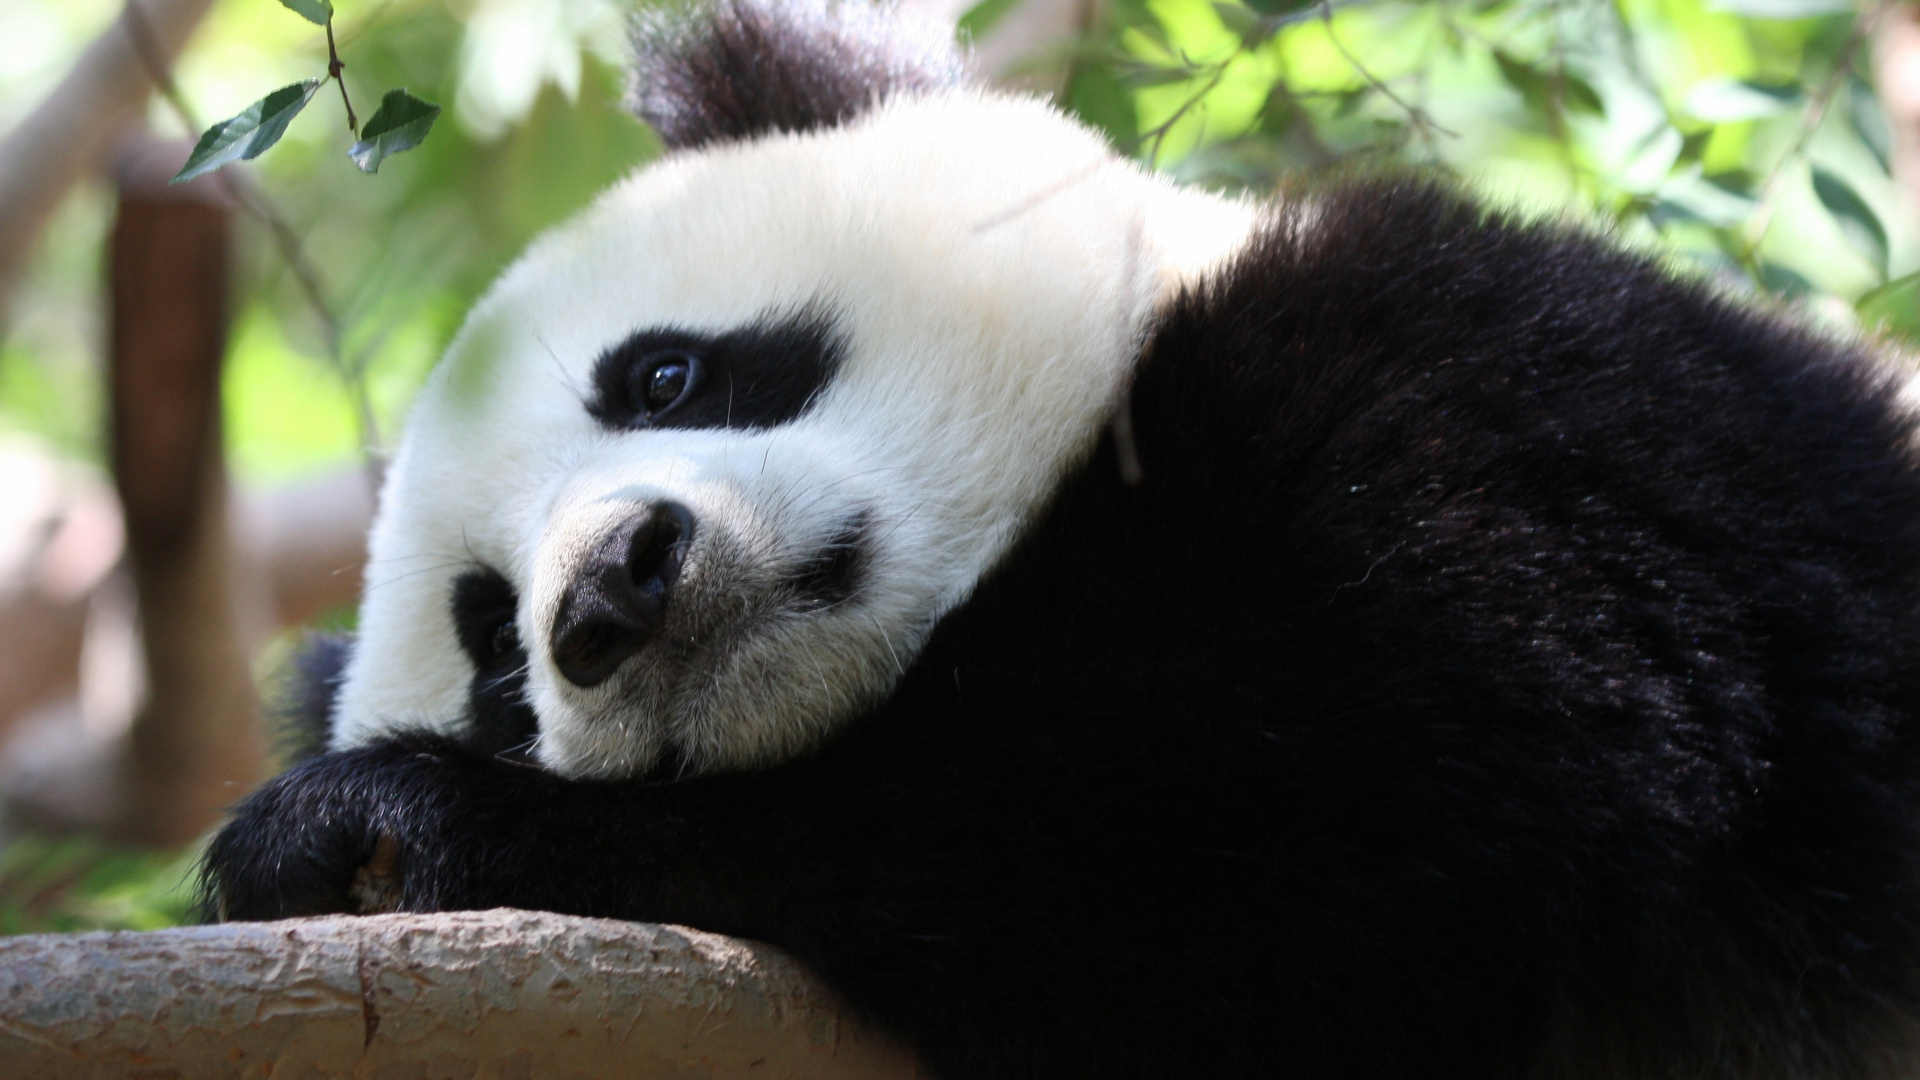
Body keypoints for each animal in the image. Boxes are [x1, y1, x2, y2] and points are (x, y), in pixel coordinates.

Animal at [206, 0, 1920, 1068]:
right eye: (497, 654)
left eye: (665, 375)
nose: (613, 594)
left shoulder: (1512, 417)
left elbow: (1287, 817)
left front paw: (379, 825)